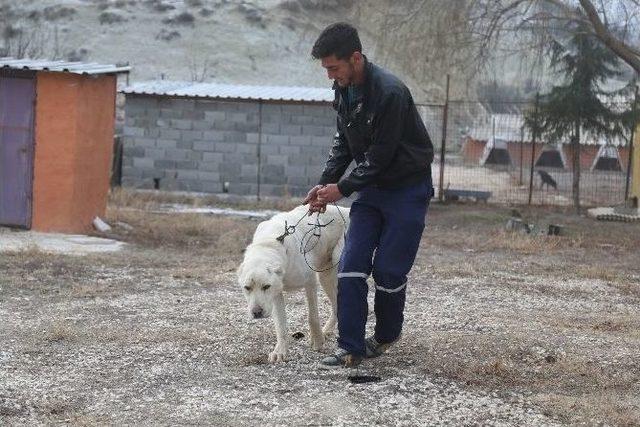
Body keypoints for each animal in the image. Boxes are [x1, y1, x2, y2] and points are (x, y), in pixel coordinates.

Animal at [238, 205, 350, 364]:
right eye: (247, 288)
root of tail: (347, 209)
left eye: (265, 286)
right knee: (336, 307)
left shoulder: (310, 282)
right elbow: (281, 325)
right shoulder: (276, 294)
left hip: (336, 264)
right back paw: (326, 331)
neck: (269, 243)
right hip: (325, 277)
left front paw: (317, 341)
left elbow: (312, 317)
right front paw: (280, 351)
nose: (256, 313)